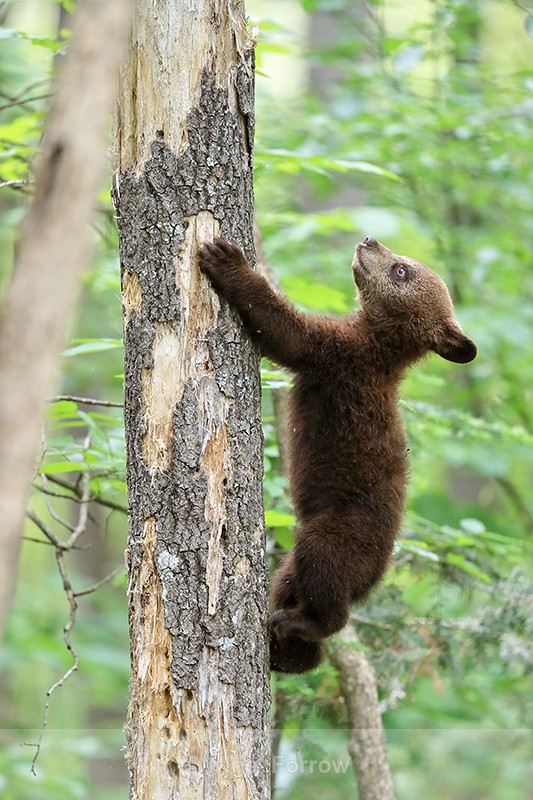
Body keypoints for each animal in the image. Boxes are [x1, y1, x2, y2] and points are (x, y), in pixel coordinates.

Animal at [198, 235, 477, 673]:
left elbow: (287, 332)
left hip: (336, 537)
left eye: (401, 269)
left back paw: (300, 626)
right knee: (290, 588)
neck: (378, 344)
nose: (369, 239)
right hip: (295, 571)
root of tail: (373, 578)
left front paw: (228, 262)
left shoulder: (337, 354)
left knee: (327, 588)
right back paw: (285, 649)